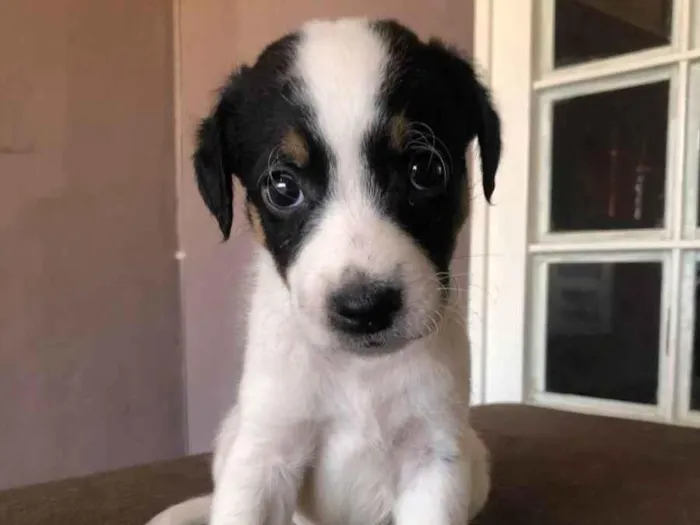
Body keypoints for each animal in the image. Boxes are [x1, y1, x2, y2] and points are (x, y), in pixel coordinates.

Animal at [148, 18, 500, 524]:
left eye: (426, 169)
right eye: (282, 187)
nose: (365, 308)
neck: (359, 372)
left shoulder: (434, 457)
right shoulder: (264, 454)